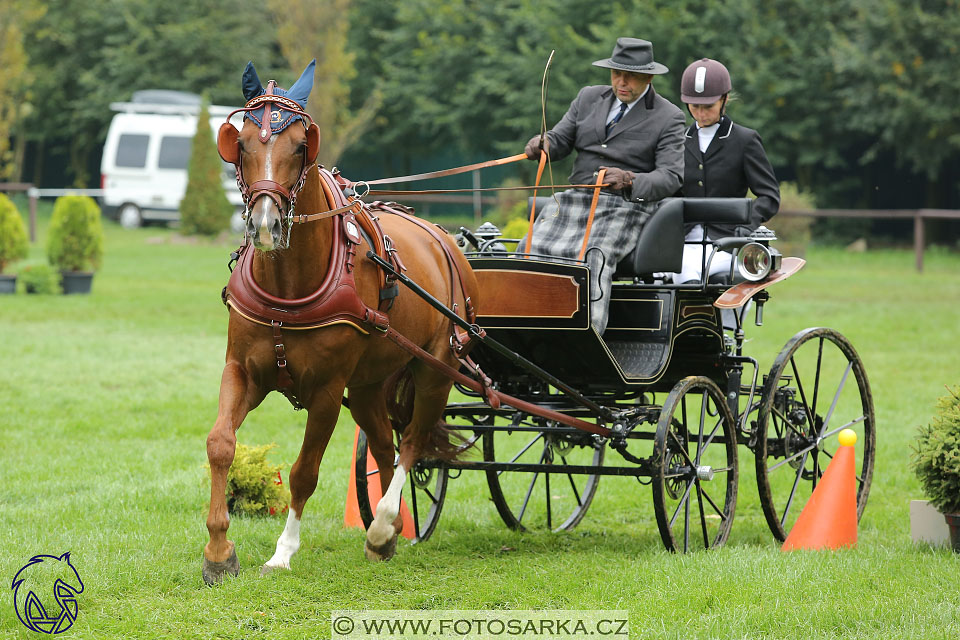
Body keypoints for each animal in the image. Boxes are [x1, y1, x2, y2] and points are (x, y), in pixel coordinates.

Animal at [201, 61, 478, 584]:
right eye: (240, 143)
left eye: (300, 146)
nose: (265, 225)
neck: (288, 289)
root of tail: (444, 240)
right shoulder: (241, 370)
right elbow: (221, 444)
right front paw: (219, 551)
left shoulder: (327, 392)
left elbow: (303, 472)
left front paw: (283, 552)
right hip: (369, 384)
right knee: (386, 447)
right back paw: (389, 534)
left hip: (436, 370)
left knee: (412, 444)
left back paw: (383, 525)